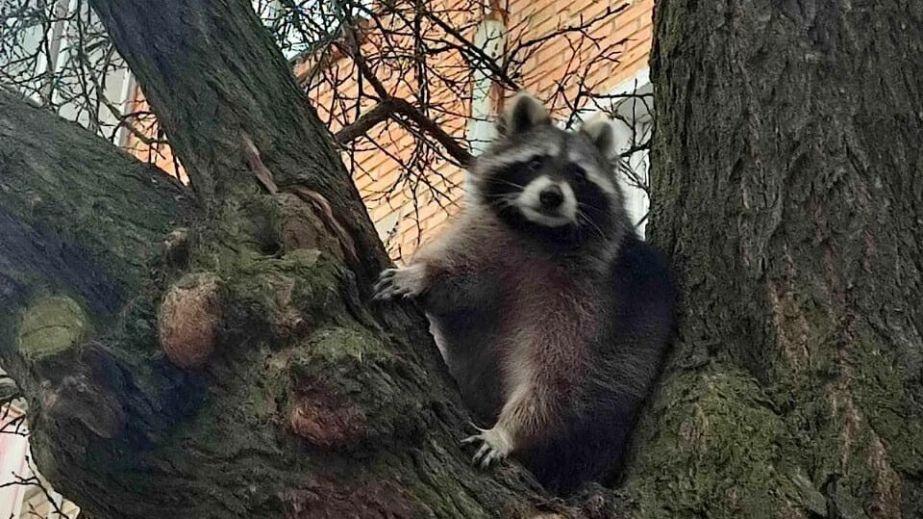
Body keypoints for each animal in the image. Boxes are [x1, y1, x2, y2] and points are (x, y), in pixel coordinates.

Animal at [376, 93, 680, 496]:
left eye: (578, 175)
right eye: (536, 162)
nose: (551, 196)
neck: (542, 234)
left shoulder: (592, 299)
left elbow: (560, 375)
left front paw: (509, 430)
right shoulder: (490, 238)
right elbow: (455, 278)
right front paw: (421, 274)